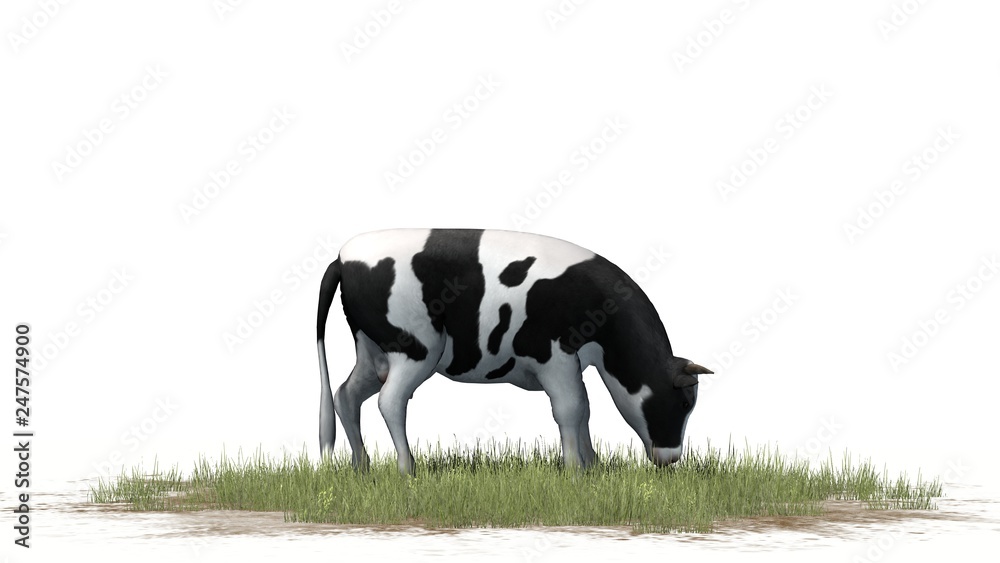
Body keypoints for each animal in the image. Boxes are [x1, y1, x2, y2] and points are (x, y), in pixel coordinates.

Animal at [315, 228, 711, 475]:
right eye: (682, 403)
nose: (672, 459)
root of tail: (342, 257)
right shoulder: (553, 356)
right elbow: (571, 409)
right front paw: (574, 472)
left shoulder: (572, 364)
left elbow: (584, 409)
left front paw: (592, 466)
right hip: (415, 349)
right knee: (390, 401)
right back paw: (407, 470)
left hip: (372, 351)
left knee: (347, 394)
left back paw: (362, 467)